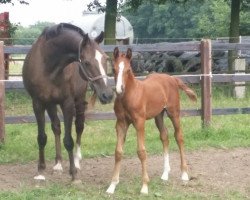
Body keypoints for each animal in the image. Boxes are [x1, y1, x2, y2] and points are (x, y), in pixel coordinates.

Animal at [21, 23, 113, 181]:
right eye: (87, 62)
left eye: (105, 59)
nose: (107, 95)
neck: (48, 66)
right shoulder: (38, 103)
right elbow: (42, 137)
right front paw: (40, 171)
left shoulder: (68, 104)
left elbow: (69, 140)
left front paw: (74, 175)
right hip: (51, 104)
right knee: (56, 127)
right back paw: (58, 163)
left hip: (79, 101)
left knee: (79, 127)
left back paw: (76, 161)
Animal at [106, 47, 196, 194]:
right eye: (114, 69)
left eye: (128, 69)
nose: (120, 89)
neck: (130, 95)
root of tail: (172, 78)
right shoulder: (121, 123)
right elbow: (118, 152)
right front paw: (112, 186)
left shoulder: (139, 122)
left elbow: (141, 152)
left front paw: (144, 186)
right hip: (158, 115)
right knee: (165, 136)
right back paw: (165, 173)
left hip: (174, 113)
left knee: (179, 137)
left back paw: (184, 174)